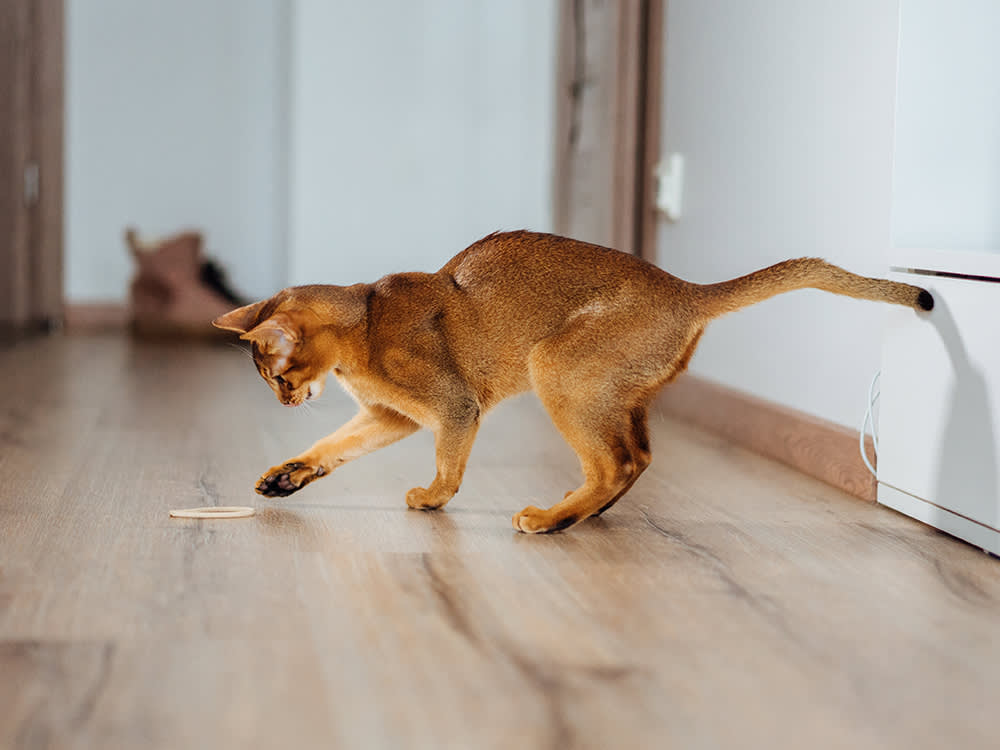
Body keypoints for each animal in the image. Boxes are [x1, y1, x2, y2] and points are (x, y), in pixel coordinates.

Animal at [211, 231, 928, 536]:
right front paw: (288, 473)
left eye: (278, 374)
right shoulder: (395, 415)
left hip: (554, 366)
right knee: (638, 456)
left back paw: (551, 520)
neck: (365, 318)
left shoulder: (451, 407)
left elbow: (448, 463)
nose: (283, 399)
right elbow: (336, 445)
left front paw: (434, 498)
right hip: (614, 393)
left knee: (617, 462)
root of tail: (686, 290)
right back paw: (580, 509)